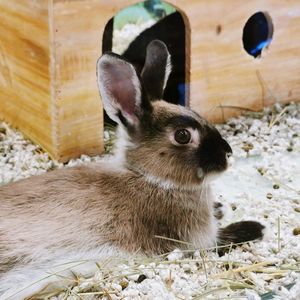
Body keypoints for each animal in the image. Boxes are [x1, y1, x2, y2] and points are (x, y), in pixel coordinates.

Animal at [0, 39, 262, 298]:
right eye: (182, 135)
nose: (228, 154)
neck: (148, 177)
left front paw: (221, 208)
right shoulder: (192, 239)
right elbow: (218, 240)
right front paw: (256, 228)